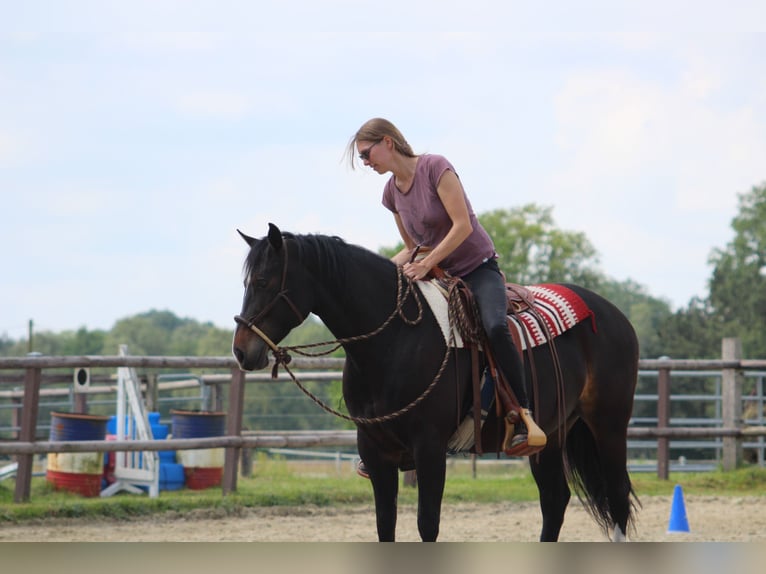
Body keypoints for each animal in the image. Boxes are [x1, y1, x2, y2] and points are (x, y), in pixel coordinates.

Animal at [232, 225, 640, 544]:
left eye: (264, 282)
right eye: (245, 282)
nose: (240, 350)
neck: (394, 339)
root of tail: (613, 314)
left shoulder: (430, 448)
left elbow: (427, 525)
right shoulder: (375, 451)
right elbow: (385, 525)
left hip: (608, 425)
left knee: (617, 496)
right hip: (552, 435)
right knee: (555, 500)